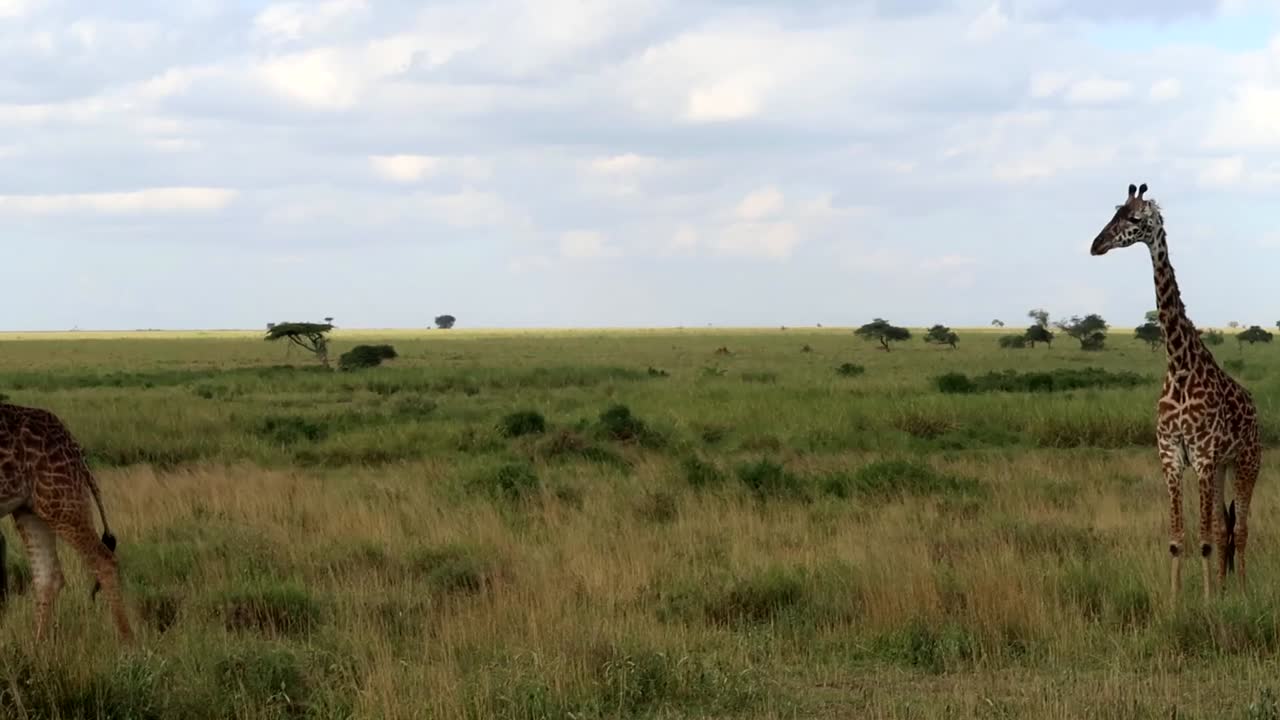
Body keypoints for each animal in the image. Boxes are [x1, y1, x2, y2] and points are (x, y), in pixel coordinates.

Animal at [0, 402, 132, 641]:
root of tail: (74, 445)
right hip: (31, 508)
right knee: (47, 575)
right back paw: (37, 647)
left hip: (60, 500)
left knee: (103, 559)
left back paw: (130, 644)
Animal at [1090, 182, 1260, 604]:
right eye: (1115, 211)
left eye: (1135, 218)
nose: (1097, 244)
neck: (1180, 367)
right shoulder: (1171, 456)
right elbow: (1177, 538)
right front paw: (1175, 602)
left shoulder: (1201, 456)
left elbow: (1203, 540)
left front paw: (1207, 604)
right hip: (1222, 466)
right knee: (1225, 525)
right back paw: (1225, 588)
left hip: (1247, 461)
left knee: (1241, 529)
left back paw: (1241, 592)